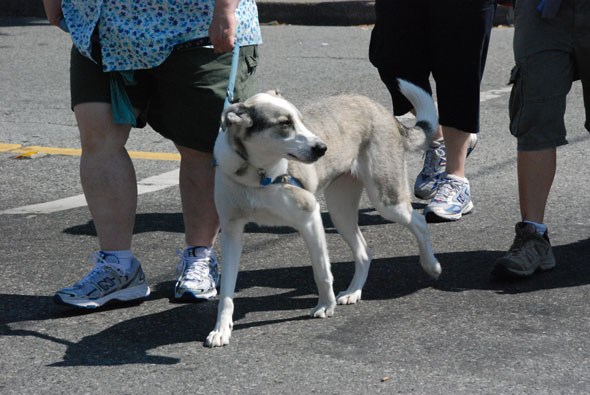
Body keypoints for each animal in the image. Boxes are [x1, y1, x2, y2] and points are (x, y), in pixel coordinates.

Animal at [208, 79, 444, 346]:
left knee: (419, 222)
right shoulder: (231, 232)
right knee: (364, 252)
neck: (257, 173)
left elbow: (321, 271)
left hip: (386, 200)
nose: (322, 148)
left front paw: (326, 306)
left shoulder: (309, 217)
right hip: (340, 211)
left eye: (301, 120)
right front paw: (221, 329)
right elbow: (227, 291)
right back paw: (353, 292)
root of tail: (377, 107)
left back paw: (432, 265)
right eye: (284, 123)